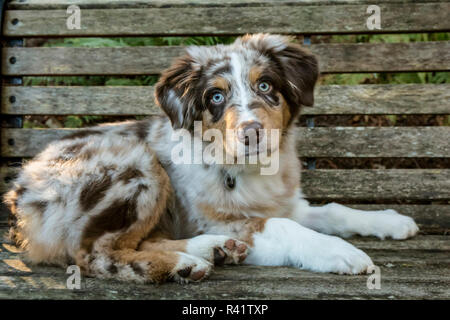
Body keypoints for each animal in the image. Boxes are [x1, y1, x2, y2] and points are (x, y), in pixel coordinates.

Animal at [2, 33, 418, 284]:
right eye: (215, 96)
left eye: (265, 85)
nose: (252, 132)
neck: (246, 168)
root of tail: (19, 193)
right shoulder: (213, 217)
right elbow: (285, 228)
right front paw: (340, 252)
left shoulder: (282, 203)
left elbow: (333, 210)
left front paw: (391, 221)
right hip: (137, 165)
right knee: (95, 254)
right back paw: (184, 264)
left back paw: (211, 251)